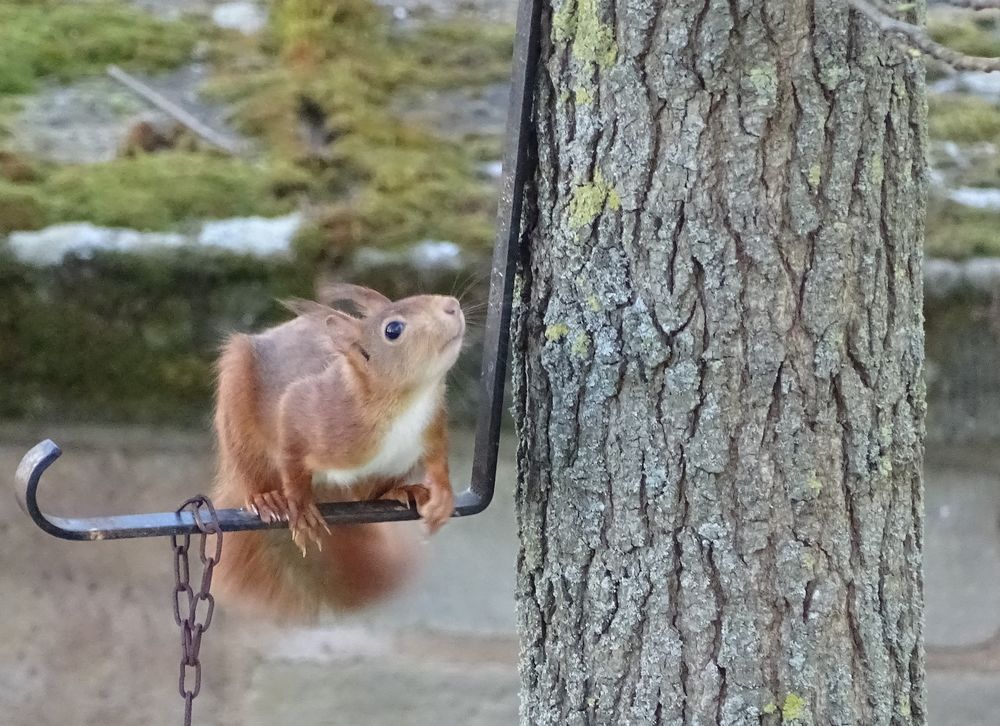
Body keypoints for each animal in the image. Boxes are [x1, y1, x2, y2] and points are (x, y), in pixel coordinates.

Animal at [210, 284, 465, 619]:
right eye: (393, 330)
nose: (452, 305)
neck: (409, 402)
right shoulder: (305, 408)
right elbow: (291, 453)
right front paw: (300, 507)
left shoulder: (432, 424)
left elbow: (437, 458)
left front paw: (443, 497)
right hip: (238, 409)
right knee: (250, 467)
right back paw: (266, 497)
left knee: (367, 494)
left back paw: (403, 491)